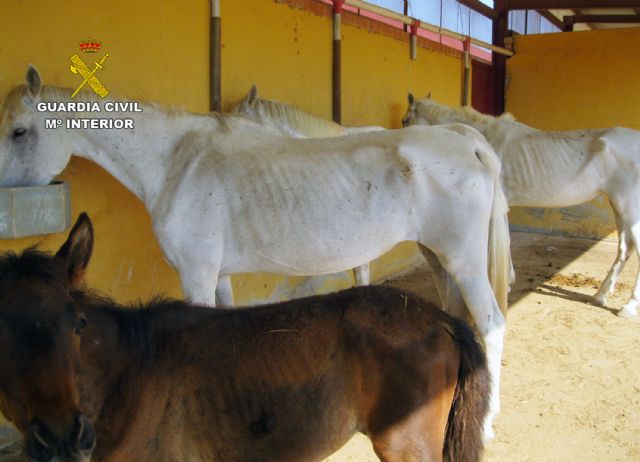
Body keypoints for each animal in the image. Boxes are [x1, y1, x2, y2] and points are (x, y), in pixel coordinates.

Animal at [403, 93, 640, 318]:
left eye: (405, 121)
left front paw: (505, 281)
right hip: (618, 207)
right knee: (625, 249)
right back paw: (600, 295)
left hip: (629, 208)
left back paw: (628, 307)